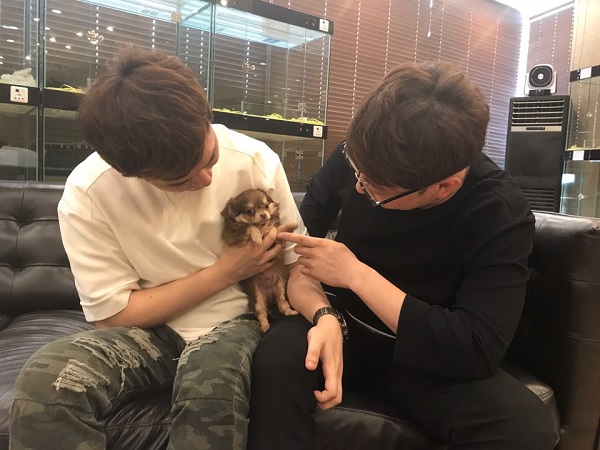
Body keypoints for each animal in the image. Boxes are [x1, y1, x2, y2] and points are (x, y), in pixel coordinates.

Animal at [221, 188, 298, 331]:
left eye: (266, 206)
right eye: (249, 211)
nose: (263, 214)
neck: (260, 224)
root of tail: (269, 293)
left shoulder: (275, 234)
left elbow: (277, 230)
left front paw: (291, 225)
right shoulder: (234, 236)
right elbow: (249, 227)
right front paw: (257, 237)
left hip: (280, 287)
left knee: (282, 303)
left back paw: (290, 312)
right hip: (257, 297)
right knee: (262, 313)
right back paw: (266, 327)